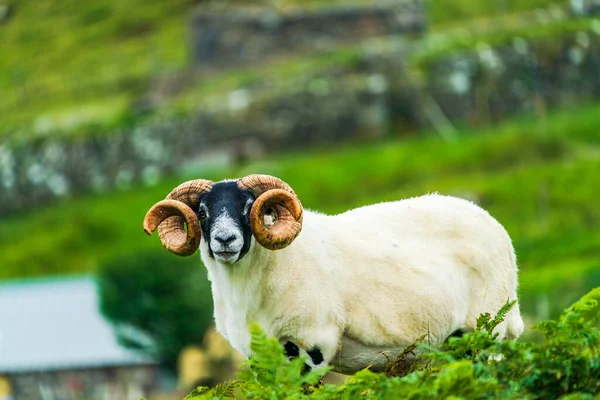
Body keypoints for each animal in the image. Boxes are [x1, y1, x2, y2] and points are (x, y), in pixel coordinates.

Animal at [143, 173, 524, 374]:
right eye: (202, 212)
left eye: (249, 207)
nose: (225, 240)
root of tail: (499, 231)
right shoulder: (262, 357)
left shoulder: (312, 343)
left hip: (489, 329)